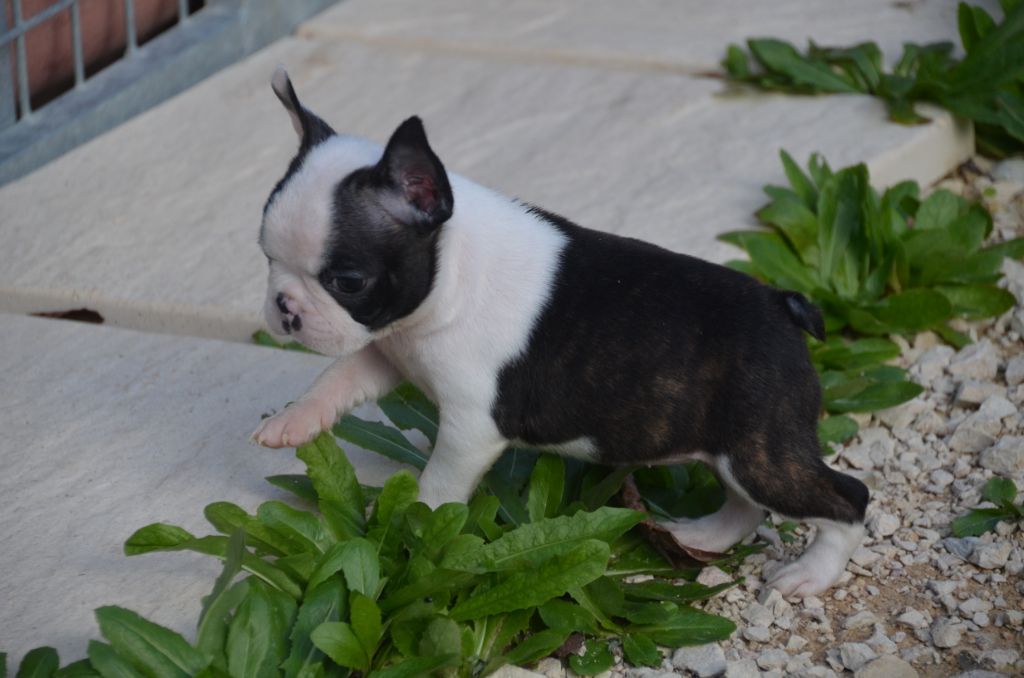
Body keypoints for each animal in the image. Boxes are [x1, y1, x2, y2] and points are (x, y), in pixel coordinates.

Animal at [251, 67, 869, 597]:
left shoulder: (470, 426)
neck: (450, 274)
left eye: (347, 280)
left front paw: (412, 531)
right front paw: (292, 421)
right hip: (731, 447)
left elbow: (438, 486)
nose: (284, 307)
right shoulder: (388, 347)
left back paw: (812, 573)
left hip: (760, 450)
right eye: (266, 257)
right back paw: (703, 535)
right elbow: (339, 376)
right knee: (746, 503)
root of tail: (782, 303)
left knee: (845, 498)